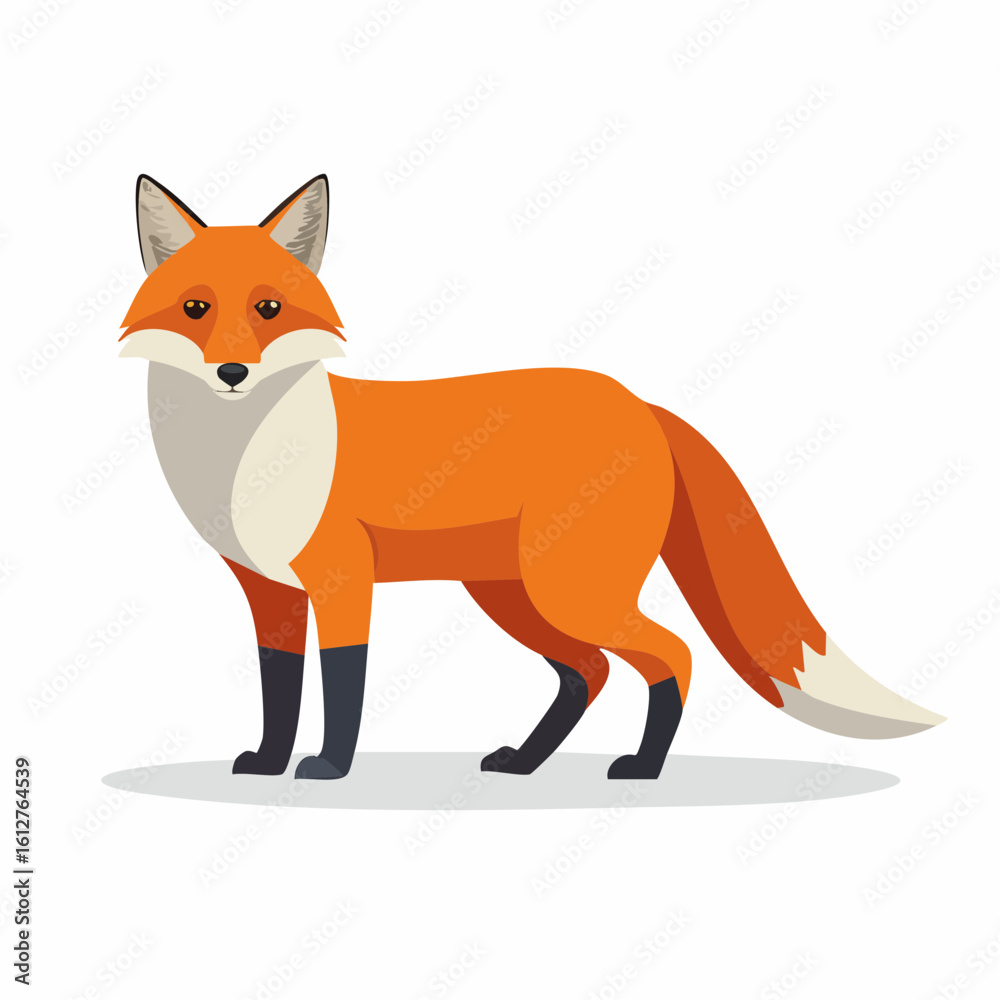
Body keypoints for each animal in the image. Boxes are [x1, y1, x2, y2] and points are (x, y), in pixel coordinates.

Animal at [119, 173, 945, 781]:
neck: (245, 461)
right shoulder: (272, 597)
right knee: (588, 673)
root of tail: (638, 402)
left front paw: (327, 768)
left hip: (566, 591)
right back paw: (526, 762)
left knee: (670, 655)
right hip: (514, 595)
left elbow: (343, 684)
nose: (233, 372)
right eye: (195, 308)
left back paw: (643, 768)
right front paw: (268, 763)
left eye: (268, 308)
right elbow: (279, 693)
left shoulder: (341, 579)